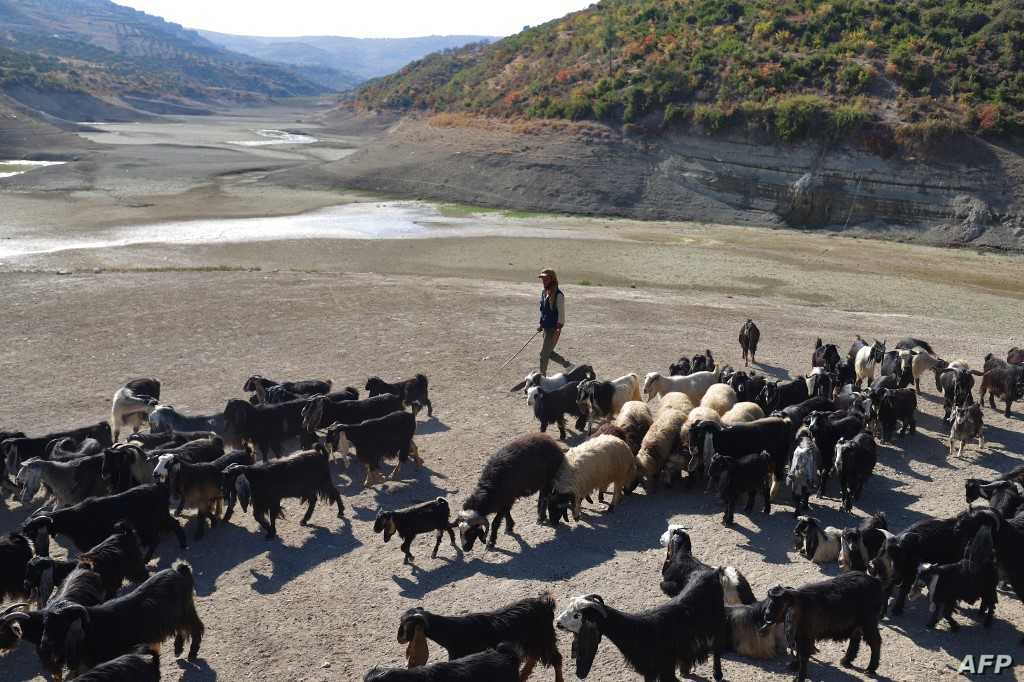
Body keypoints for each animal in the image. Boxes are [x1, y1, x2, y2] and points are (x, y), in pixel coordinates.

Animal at [38, 557, 201, 675]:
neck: (93, 626)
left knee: (197, 628)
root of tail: (180, 570)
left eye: (60, 623)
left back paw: (192, 653)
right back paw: (178, 649)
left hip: (186, 612)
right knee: (183, 630)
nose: (44, 644)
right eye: (45, 623)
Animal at [397, 589, 561, 675]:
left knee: (556, 659)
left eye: (405, 625)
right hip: (533, 640)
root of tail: (544, 602)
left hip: (544, 637)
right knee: (533, 658)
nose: (400, 639)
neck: (450, 630)